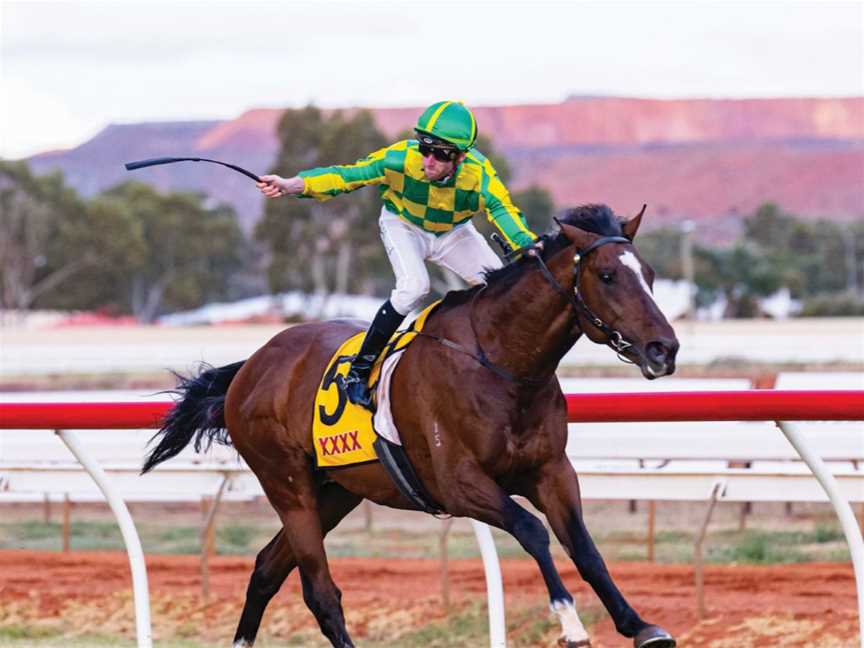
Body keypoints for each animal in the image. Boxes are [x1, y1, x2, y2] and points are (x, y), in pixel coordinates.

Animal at [143, 204, 680, 648]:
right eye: (607, 275)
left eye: (650, 274)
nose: (664, 349)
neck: (501, 364)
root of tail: (250, 365)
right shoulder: (458, 483)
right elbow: (531, 529)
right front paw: (569, 620)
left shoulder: (551, 471)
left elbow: (584, 547)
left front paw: (639, 625)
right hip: (287, 485)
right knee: (320, 593)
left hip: (335, 491)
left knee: (265, 570)